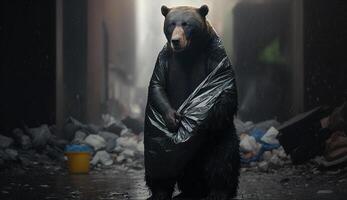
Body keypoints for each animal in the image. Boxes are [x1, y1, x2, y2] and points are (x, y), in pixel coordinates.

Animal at [144, 5, 239, 200]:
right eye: (172, 24)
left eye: (186, 24)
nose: (176, 41)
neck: (188, 54)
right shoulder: (165, 58)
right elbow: (157, 85)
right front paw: (173, 118)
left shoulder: (215, 54)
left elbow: (224, 87)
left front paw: (201, 121)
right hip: (159, 147)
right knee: (158, 162)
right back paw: (165, 192)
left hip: (222, 137)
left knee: (224, 159)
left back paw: (218, 192)